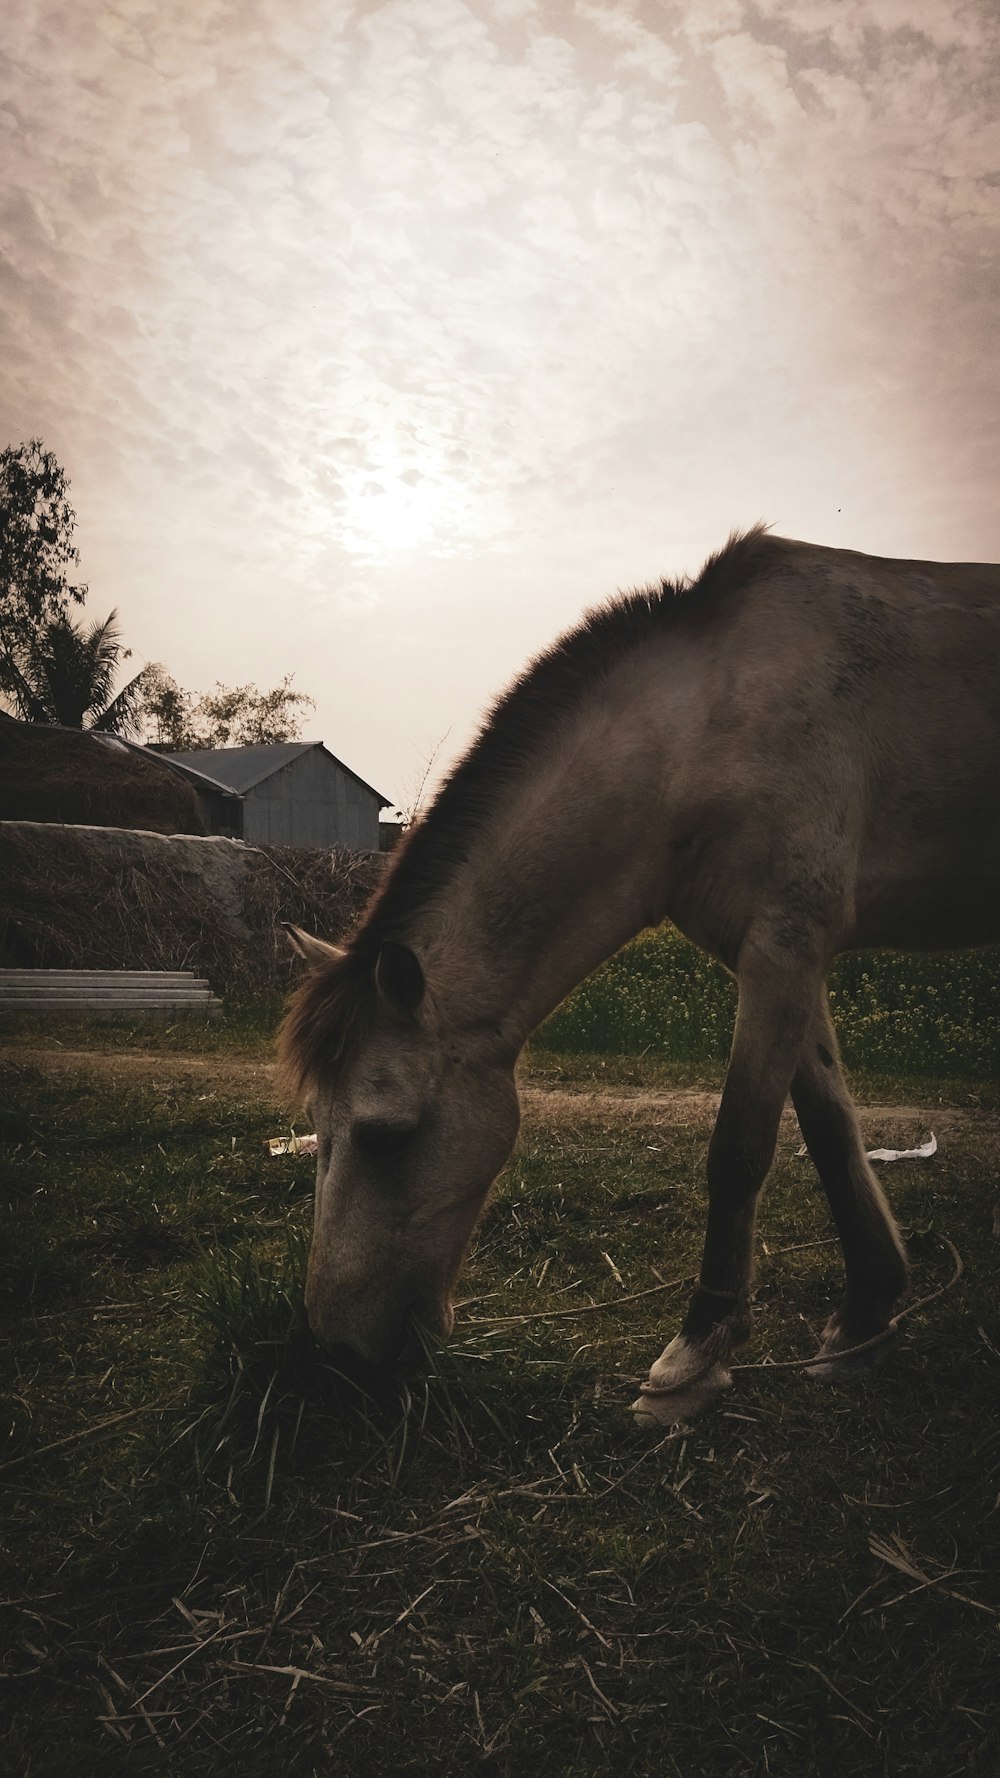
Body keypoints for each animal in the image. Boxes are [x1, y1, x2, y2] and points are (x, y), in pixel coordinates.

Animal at [281, 526, 996, 1415]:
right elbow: (832, 1134)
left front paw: (696, 1354)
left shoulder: (784, 945)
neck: (703, 734)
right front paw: (865, 1316)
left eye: (386, 1135)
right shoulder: (780, 961)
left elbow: (740, 1148)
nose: (338, 1347)